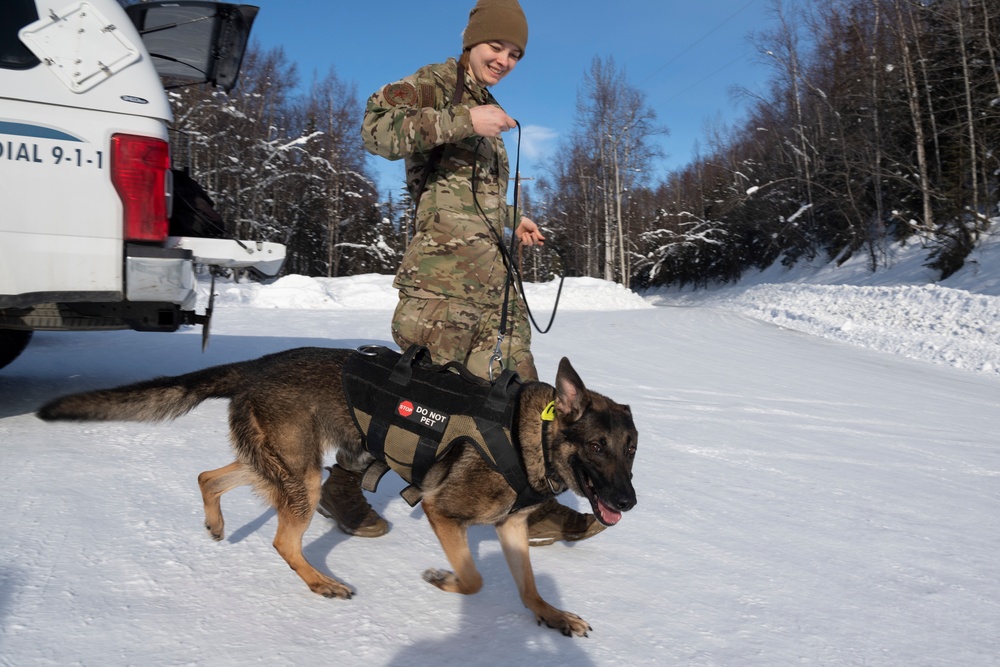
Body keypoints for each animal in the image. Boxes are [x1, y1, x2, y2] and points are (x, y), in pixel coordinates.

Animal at [37, 348, 640, 640]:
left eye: (632, 449)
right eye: (596, 446)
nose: (629, 503)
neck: (531, 433)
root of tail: (257, 365)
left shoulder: (511, 526)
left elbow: (528, 588)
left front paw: (552, 616)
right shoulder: (444, 514)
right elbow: (473, 580)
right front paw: (441, 579)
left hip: (280, 466)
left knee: (210, 476)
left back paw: (216, 522)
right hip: (301, 478)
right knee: (282, 541)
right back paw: (320, 583)